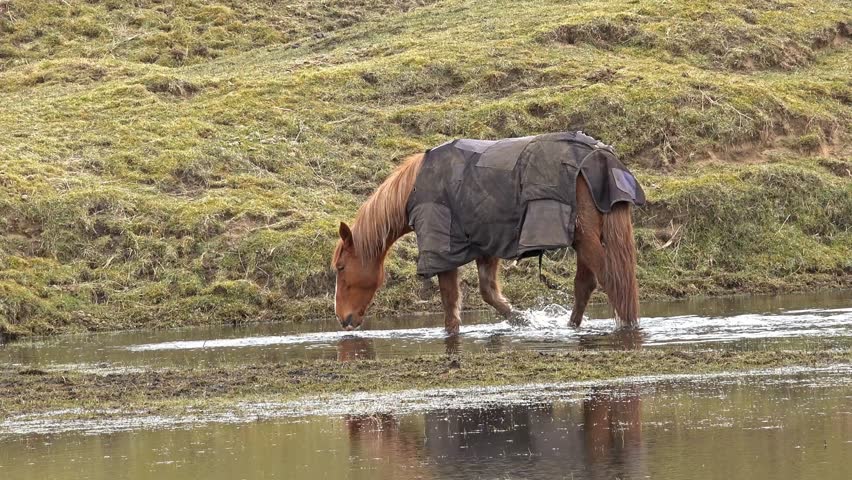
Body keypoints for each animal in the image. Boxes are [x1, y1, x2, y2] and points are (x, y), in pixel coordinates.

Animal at [332, 148, 640, 334]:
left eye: (341, 268)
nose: (343, 319)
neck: (415, 188)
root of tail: (601, 157)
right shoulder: (485, 245)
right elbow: (487, 292)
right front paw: (522, 319)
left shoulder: (444, 250)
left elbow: (450, 304)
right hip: (585, 241)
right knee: (585, 285)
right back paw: (571, 326)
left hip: (585, 240)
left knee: (611, 282)